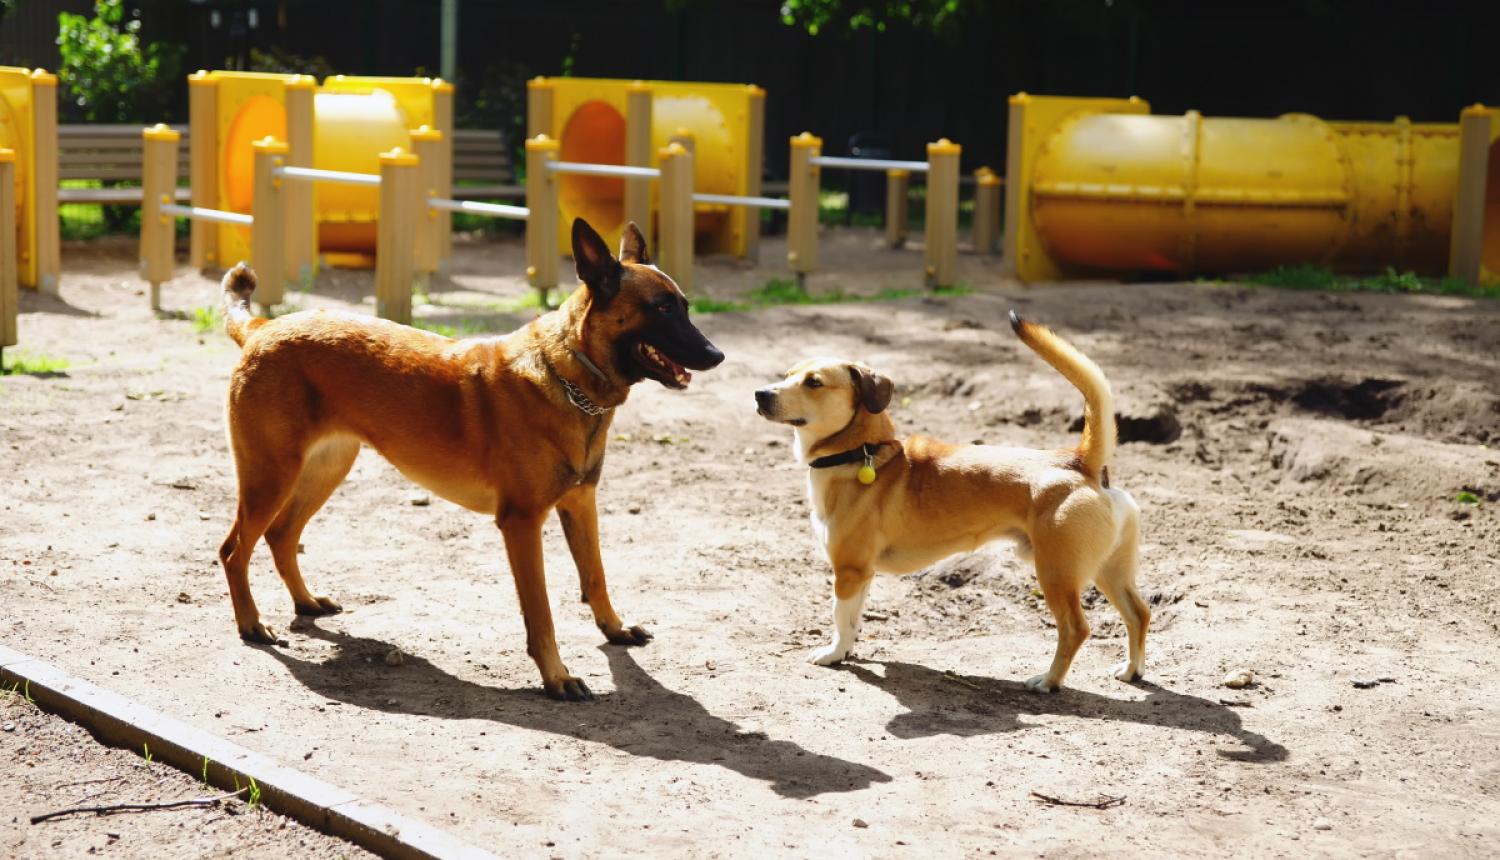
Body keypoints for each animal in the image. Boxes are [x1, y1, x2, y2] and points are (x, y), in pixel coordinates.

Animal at [216, 214, 720, 696]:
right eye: (661, 308)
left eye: (685, 306)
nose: (717, 355)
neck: (567, 375)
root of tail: (264, 328)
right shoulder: (522, 524)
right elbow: (541, 612)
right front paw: (556, 677)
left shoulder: (581, 503)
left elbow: (595, 575)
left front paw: (612, 628)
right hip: (270, 477)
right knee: (234, 550)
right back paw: (251, 624)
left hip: (323, 471)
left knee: (281, 535)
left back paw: (305, 601)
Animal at [756, 313, 1140, 690]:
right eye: (787, 375)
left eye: (813, 382)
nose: (760, 394)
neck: (861, 452)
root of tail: (1078, 460)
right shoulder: (863, 573)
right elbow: (853, 620)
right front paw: (847, 651)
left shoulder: (848, 571)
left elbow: (839, 616)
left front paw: (834, 654)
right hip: (1108, 570)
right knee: (1139, 613)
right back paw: (1132, 671)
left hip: (1057, 574)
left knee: (1075, 629)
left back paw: (1048, 681)